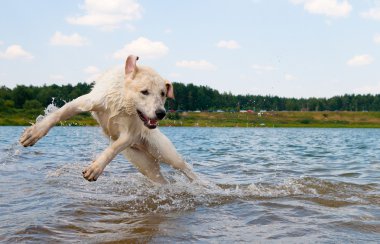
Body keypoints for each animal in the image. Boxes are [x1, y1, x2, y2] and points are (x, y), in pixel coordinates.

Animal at [20, 55, 199, 184]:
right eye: (144, 91)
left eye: (162, 93)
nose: (161, 113)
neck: (122, 104)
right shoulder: (85, 102)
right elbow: (58, 114)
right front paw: (34, 133)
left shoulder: (129, 134)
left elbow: (113, 149)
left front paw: (95, 168)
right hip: (145, 165)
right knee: (162, 181)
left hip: (165, 153)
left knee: (186, 169)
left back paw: (201, 184)